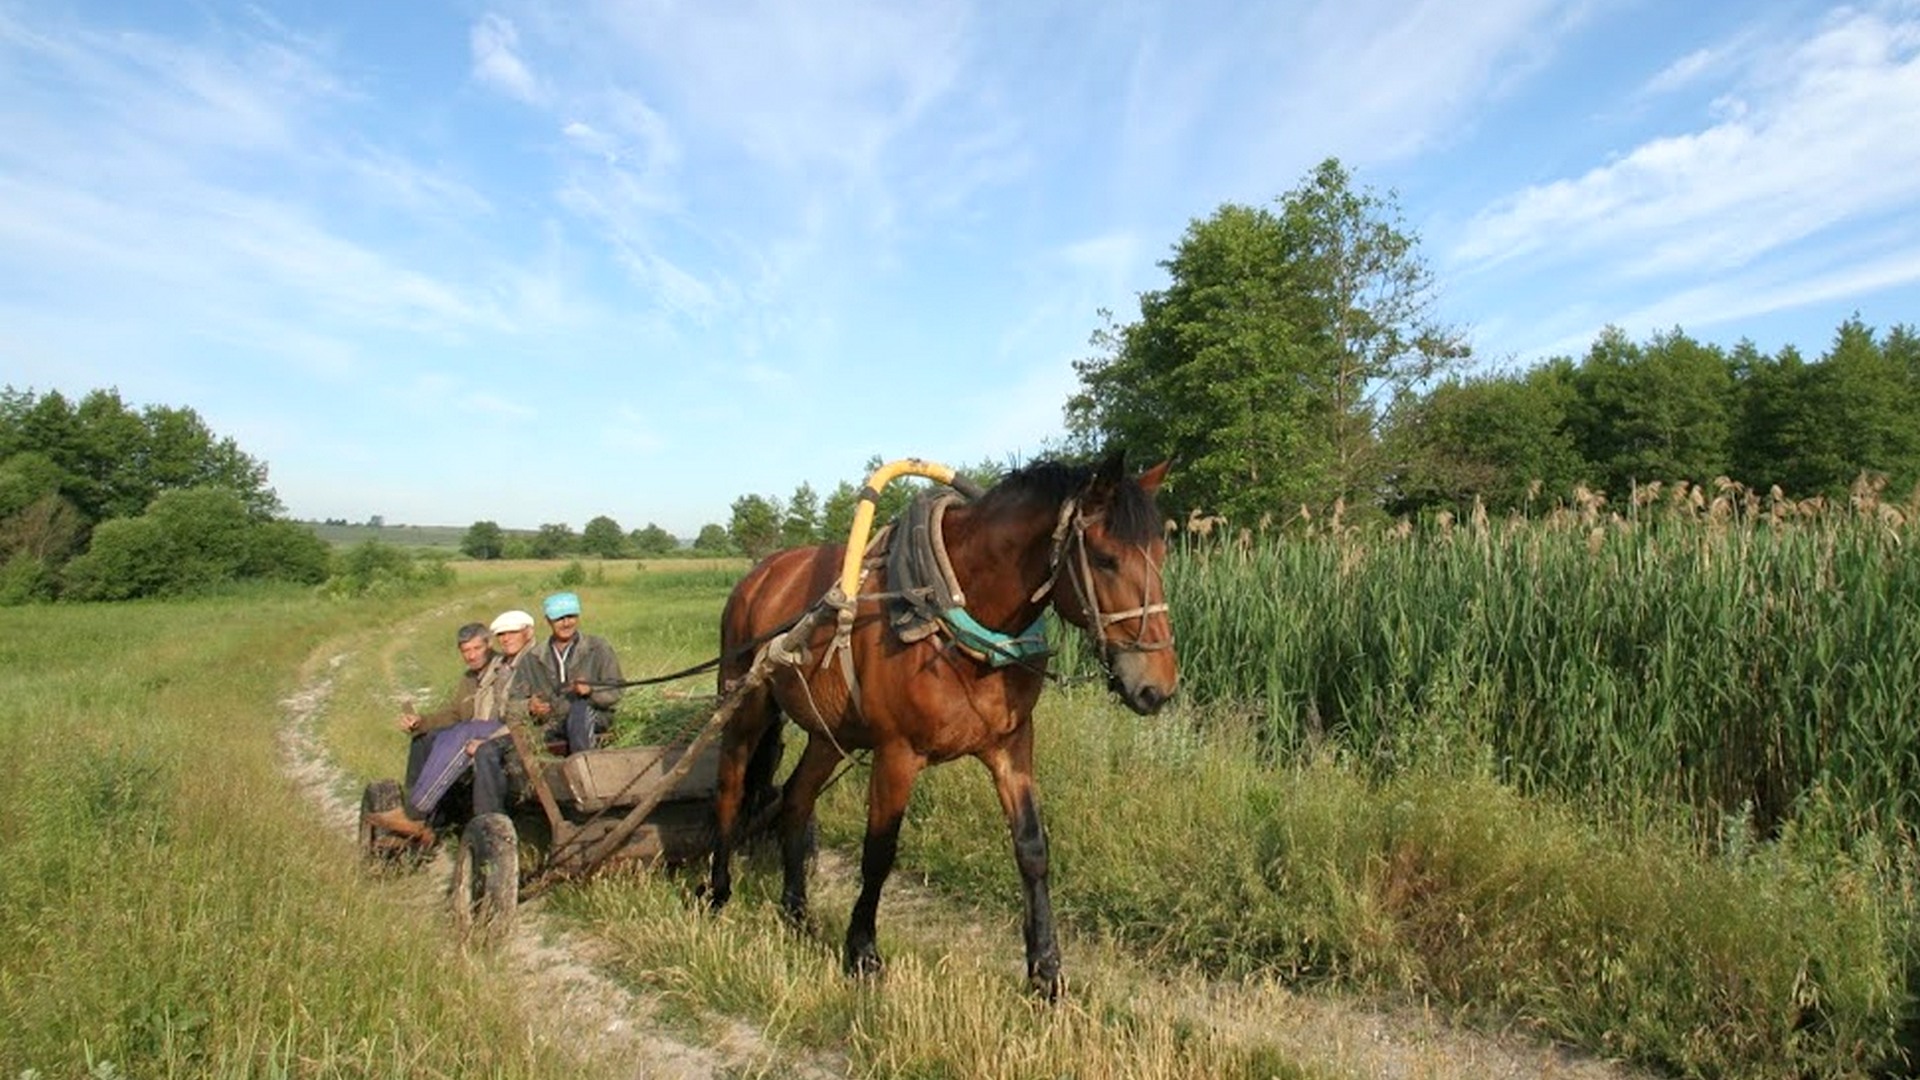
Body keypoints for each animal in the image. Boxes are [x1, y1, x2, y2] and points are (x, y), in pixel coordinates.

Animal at [714, 451, 1175, 991]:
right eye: (1105, 558)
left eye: (1162, 554)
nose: (1157, 687)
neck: (953, 605)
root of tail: (762, 572)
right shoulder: (896, 753)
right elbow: (879, 852)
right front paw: (862, 952)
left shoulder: (1012, 745)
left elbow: (1032, 849)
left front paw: (1045, 970)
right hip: (746, 704)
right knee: (730, 788)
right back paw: (716, 893)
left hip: (832, 735)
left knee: (796, 798)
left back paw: (795, 912)